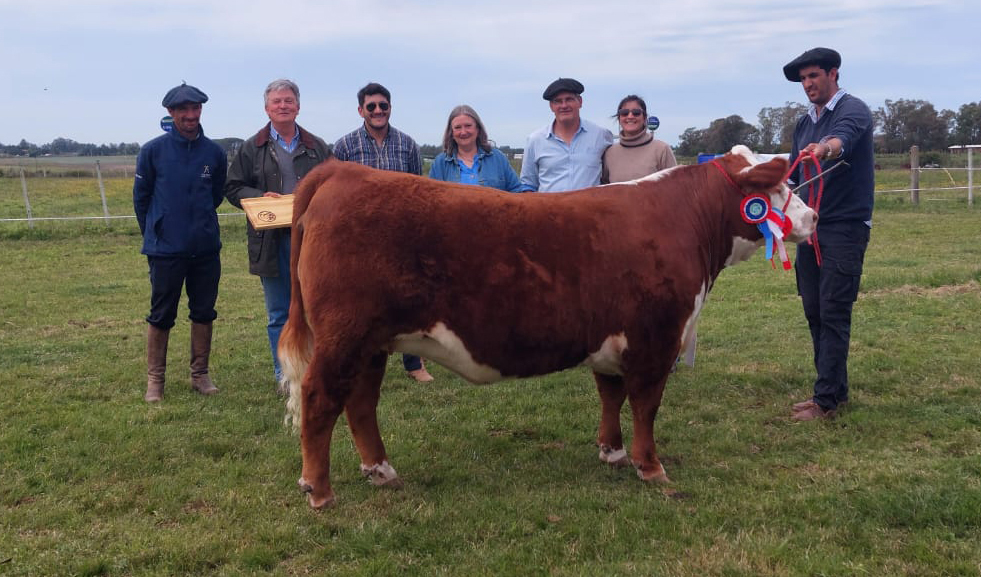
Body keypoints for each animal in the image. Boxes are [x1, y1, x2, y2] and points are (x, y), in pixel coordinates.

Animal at [280, 145, 816, 508]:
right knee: (319, 398)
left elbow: (611, 395)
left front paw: (612, 453)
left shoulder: (612, 339)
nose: (811, 216)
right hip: (344, 336)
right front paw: (651, 467)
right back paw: (319, 490)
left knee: (360, 404)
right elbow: (646, 406)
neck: (686, 220)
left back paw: (382, 471)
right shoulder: (656, 339)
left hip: (373, 343)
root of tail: (341, 172)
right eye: (779, 188)